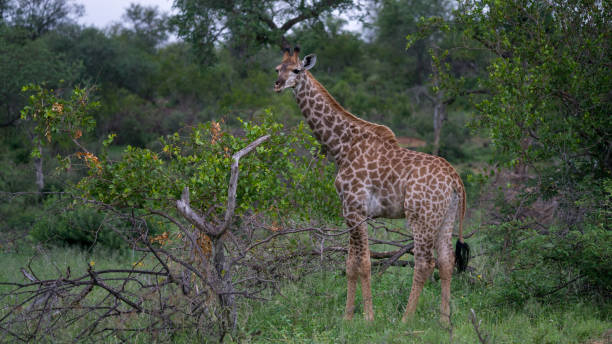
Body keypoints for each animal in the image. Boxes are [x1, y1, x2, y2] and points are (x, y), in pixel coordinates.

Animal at [274, 47, 470, 324]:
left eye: (297, 70)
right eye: (277, 68)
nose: (278, 84)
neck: (342, 147)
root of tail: (455, 180)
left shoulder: (355, 209)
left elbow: (364, 262)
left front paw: (368, 317)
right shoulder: (351, 211)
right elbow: (350, 264)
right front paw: (347, 317)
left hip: (420, 217)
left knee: (424, 264)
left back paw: (405, 320)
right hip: (446, 217)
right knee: (446, 261)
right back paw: (444, 321)